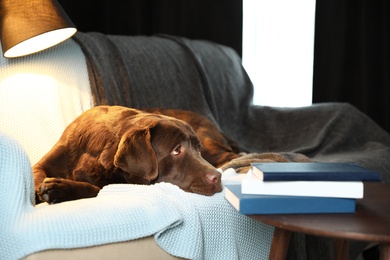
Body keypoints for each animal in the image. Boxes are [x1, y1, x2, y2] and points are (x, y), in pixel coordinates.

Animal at [34, 105, 232, 203]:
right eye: (176, 150)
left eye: (197, 148)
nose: (217, 178)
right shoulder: (46, 162)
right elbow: (37, 174)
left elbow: (93, 188)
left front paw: (60, 188)